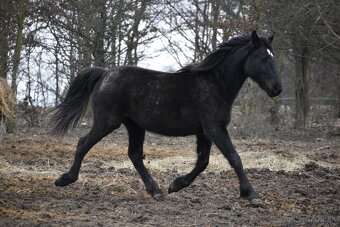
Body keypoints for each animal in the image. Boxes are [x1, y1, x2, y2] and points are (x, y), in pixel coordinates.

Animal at [51, 31, 282, 205]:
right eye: (263, 58)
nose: (277, 88)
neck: (216, 83)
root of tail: (104, 73)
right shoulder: (215, 128)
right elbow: (234, 158)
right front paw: (251, 195)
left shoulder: (205, 132)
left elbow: (203, 162)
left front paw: (175, 185)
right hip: (107, 122)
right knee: (83, 143)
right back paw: (64, 179)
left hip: (134, 126)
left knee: (135, 155)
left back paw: (156, 191)